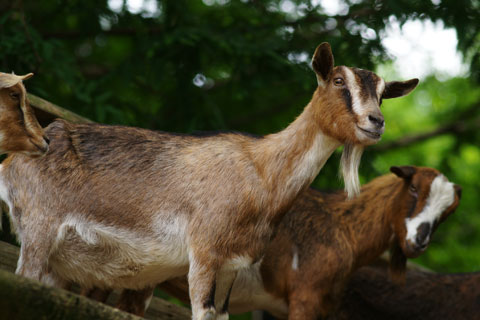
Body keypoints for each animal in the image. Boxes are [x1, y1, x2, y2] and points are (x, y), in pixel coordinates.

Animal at [0, 43, 418, 320]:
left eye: (384, 94)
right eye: (338, 80)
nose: (376, 122)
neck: (261, 173)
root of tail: (11, 164)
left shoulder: (234, 265)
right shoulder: (203, 252)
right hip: (39, 228)